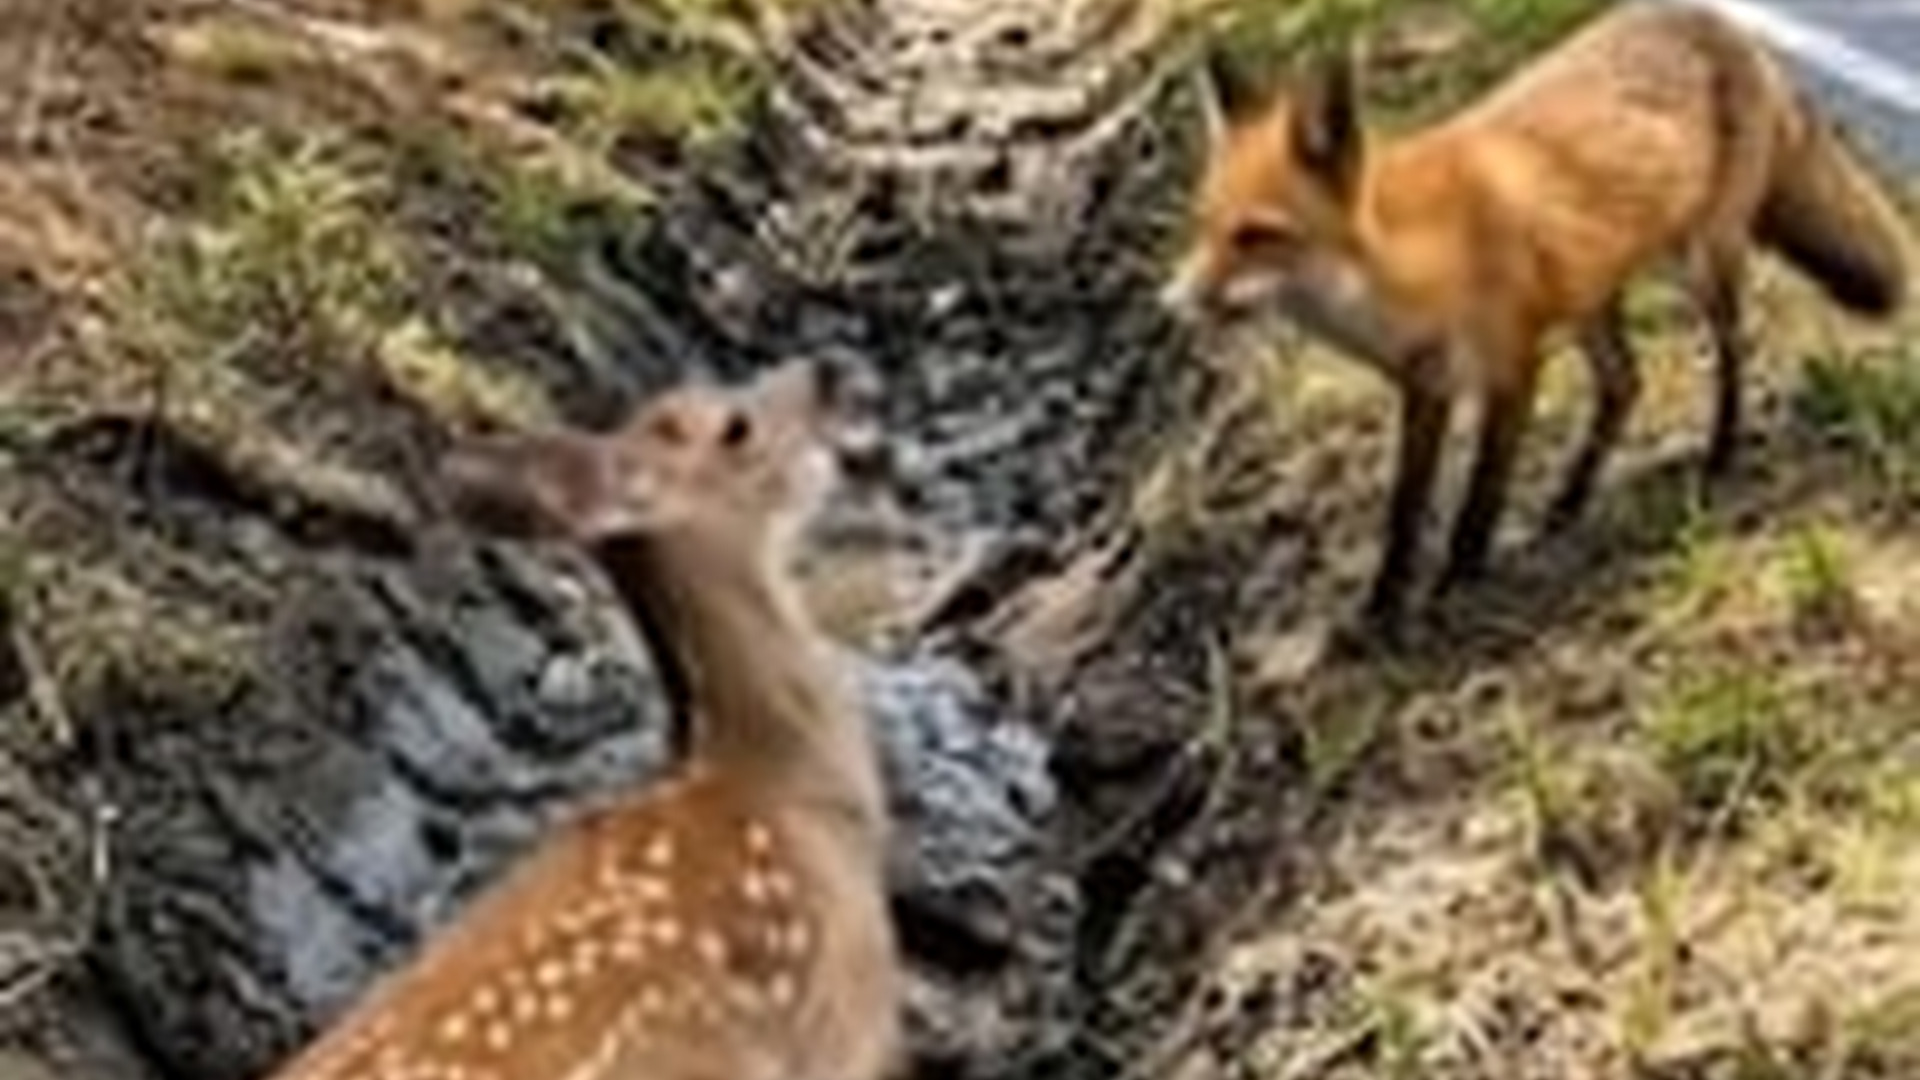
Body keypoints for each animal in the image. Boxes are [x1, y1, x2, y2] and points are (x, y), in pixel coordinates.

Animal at [1160, 0, 1912, 639]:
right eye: (1203, 226)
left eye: (1258, 235)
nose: (1168, 303)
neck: (1417, 265)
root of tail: (1720, 26)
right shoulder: (1426, 389)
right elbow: (1404, 511)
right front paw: (1381, 610)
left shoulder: (1515, 367)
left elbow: (1479, 498)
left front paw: (1455, 585)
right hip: (1590, 298)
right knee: (1625, 384)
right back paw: (1568, 503)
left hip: (1701, 262)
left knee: (1731, 351)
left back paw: (1720, 454)